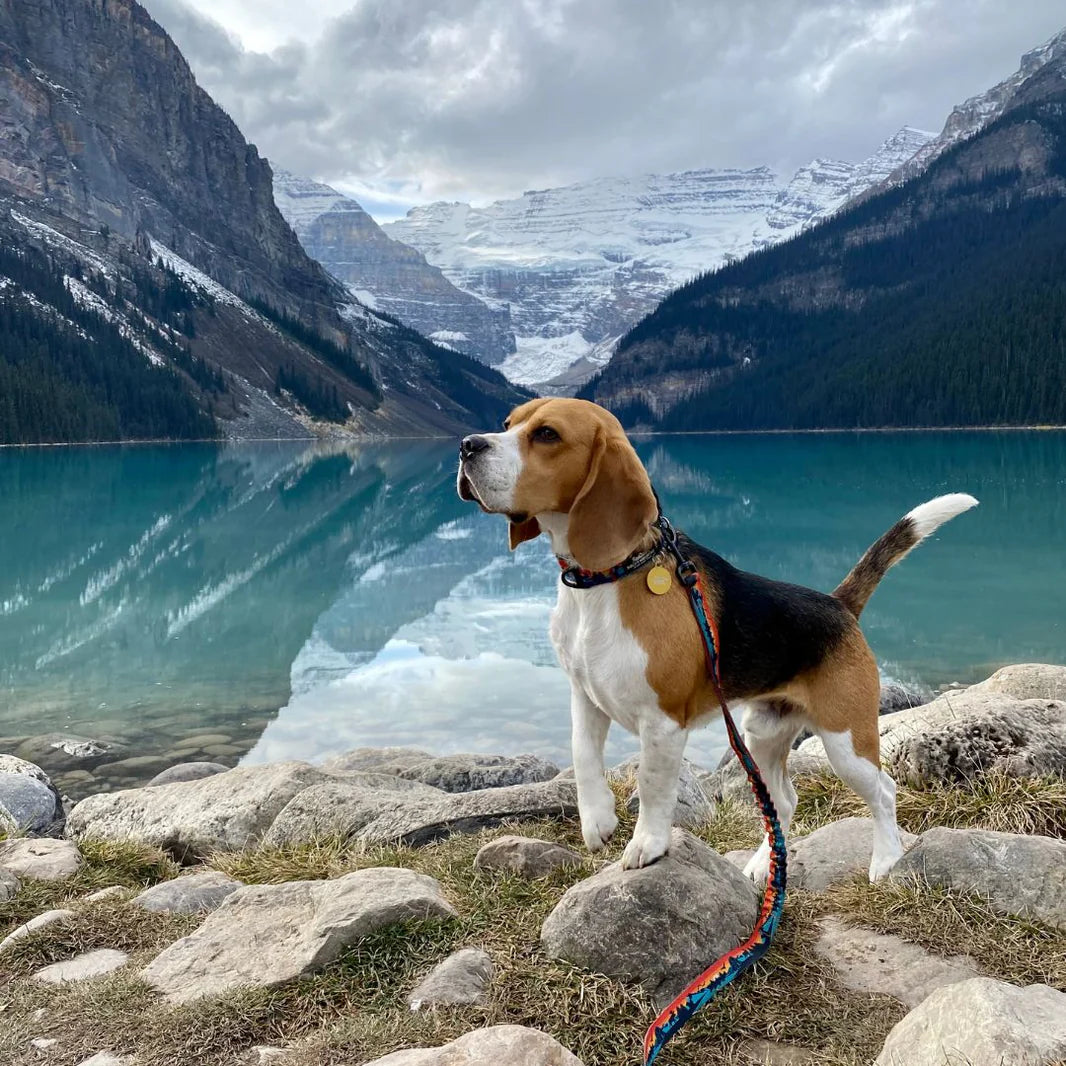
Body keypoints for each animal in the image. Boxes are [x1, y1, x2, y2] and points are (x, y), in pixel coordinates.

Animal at [458, 396, 976, 878]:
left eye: (547, 434)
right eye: (507, 423)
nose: (466, 445)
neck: (603, 581)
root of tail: (839, 604)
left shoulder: (663, 723)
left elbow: (651, 785)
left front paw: (648, 845)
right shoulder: (584, 695)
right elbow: (583, 756)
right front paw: (597, 820)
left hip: (845, 738)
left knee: (883, 792)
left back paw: (885, 859)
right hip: (761, 733)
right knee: (784, 801)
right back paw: (766, 864)